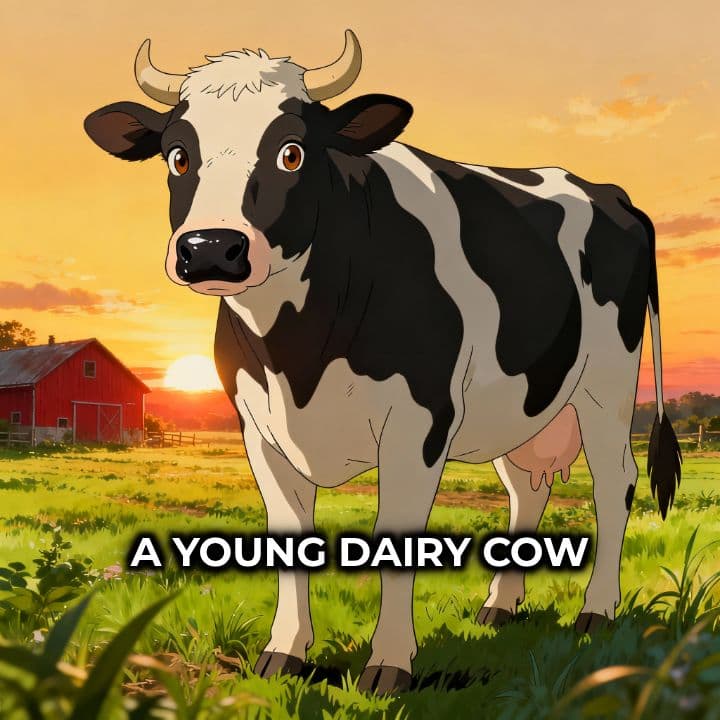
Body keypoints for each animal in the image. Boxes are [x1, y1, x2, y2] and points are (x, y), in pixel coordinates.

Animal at [85, 30, 682, 694]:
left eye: (291, 153)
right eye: (177, 157)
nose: (212, 248)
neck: (297, 358)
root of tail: (609, 192)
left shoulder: (421, 418)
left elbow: (396, 534)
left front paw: (389, 663)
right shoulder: (259, 426)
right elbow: (289, 536)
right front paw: (284, 653)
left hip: (606, 384)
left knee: (614, 484)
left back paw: (596, 611)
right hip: (523, 403)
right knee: (527, 488)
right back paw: (500, 605)